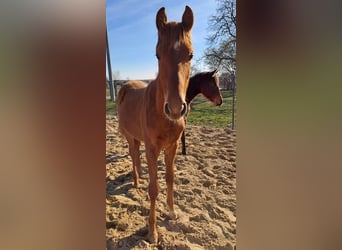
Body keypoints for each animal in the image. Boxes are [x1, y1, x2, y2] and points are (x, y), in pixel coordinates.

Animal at [117, 6, 192, 244]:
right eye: (158, 54)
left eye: (190, 55)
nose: (176, 108)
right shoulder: (152, 149)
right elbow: (154, 188)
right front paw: (152, 232)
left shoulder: (172, 147)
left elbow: (169, 179)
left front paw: (172, 212)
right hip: (130, 135)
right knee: (133, 153)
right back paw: (136, 181)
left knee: (136, 155)